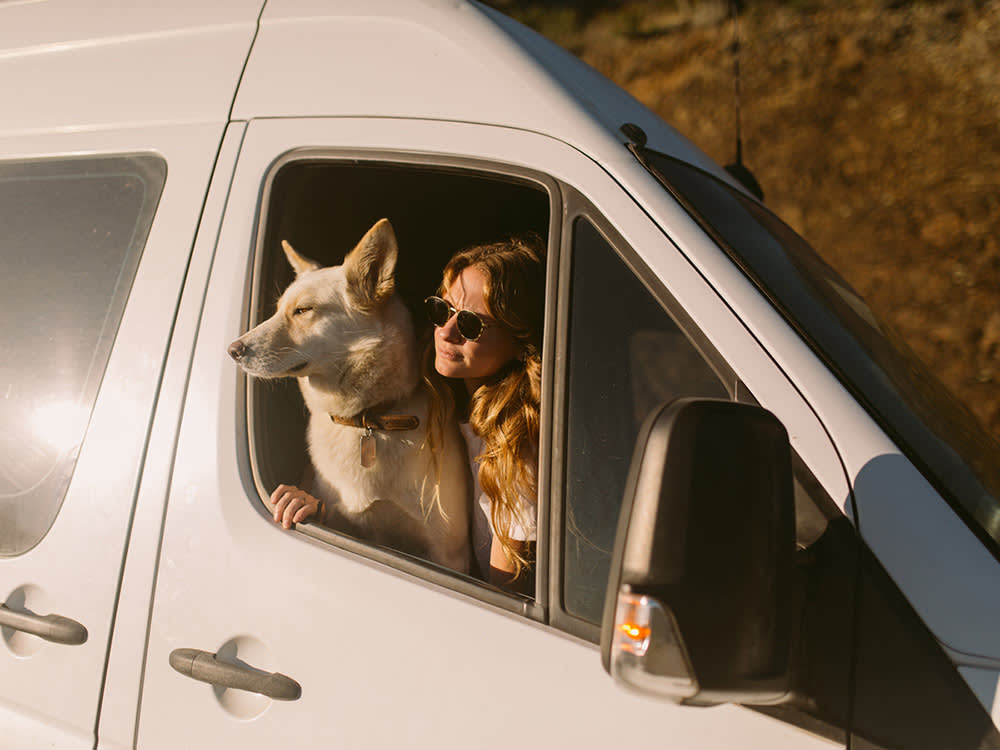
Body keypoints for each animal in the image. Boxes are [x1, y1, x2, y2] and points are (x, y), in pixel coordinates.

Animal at [229, 220, 470, 572]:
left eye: (303, 310)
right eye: (276, 311)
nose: (232, 350)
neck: (368, 419)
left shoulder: (448, 554)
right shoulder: (341, 517)